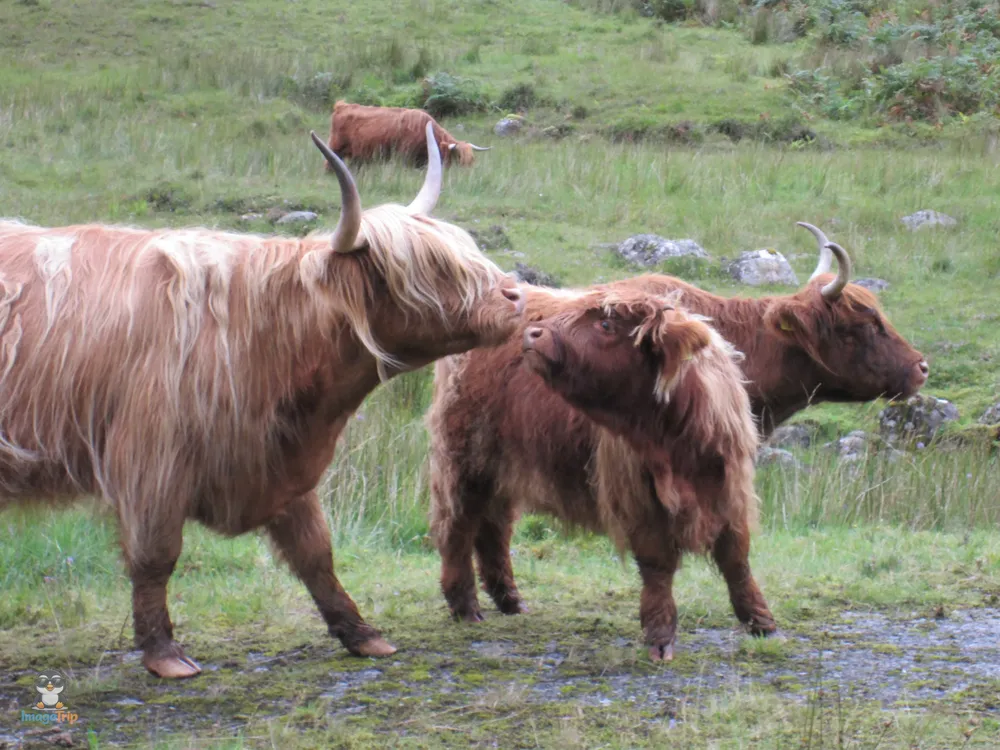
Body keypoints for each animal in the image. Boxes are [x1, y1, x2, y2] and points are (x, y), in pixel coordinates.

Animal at [0, 123, 524, 680]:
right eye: (433, 268)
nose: (516, 297)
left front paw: (363, 635)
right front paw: (164, 654)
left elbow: (316, 553)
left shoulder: (282, 466)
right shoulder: (151, 463)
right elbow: (155, 556)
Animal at [326, 100, 490, 169]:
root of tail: (342, 105)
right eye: (459, 157)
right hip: (336, 147)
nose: (467, 171)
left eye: (472, 158)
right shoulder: (405, 154)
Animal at [427, 285, 776, 660]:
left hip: (501, 466)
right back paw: (465, 606)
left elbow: (736, 557)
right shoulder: (638, 496)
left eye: (606, 325)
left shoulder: (730, 488)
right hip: (465, 460)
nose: (532, 333)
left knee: (494, 529)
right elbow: (657, 565)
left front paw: (761, 622)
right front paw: (660, 637)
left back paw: (511, 601)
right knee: (458, 527)